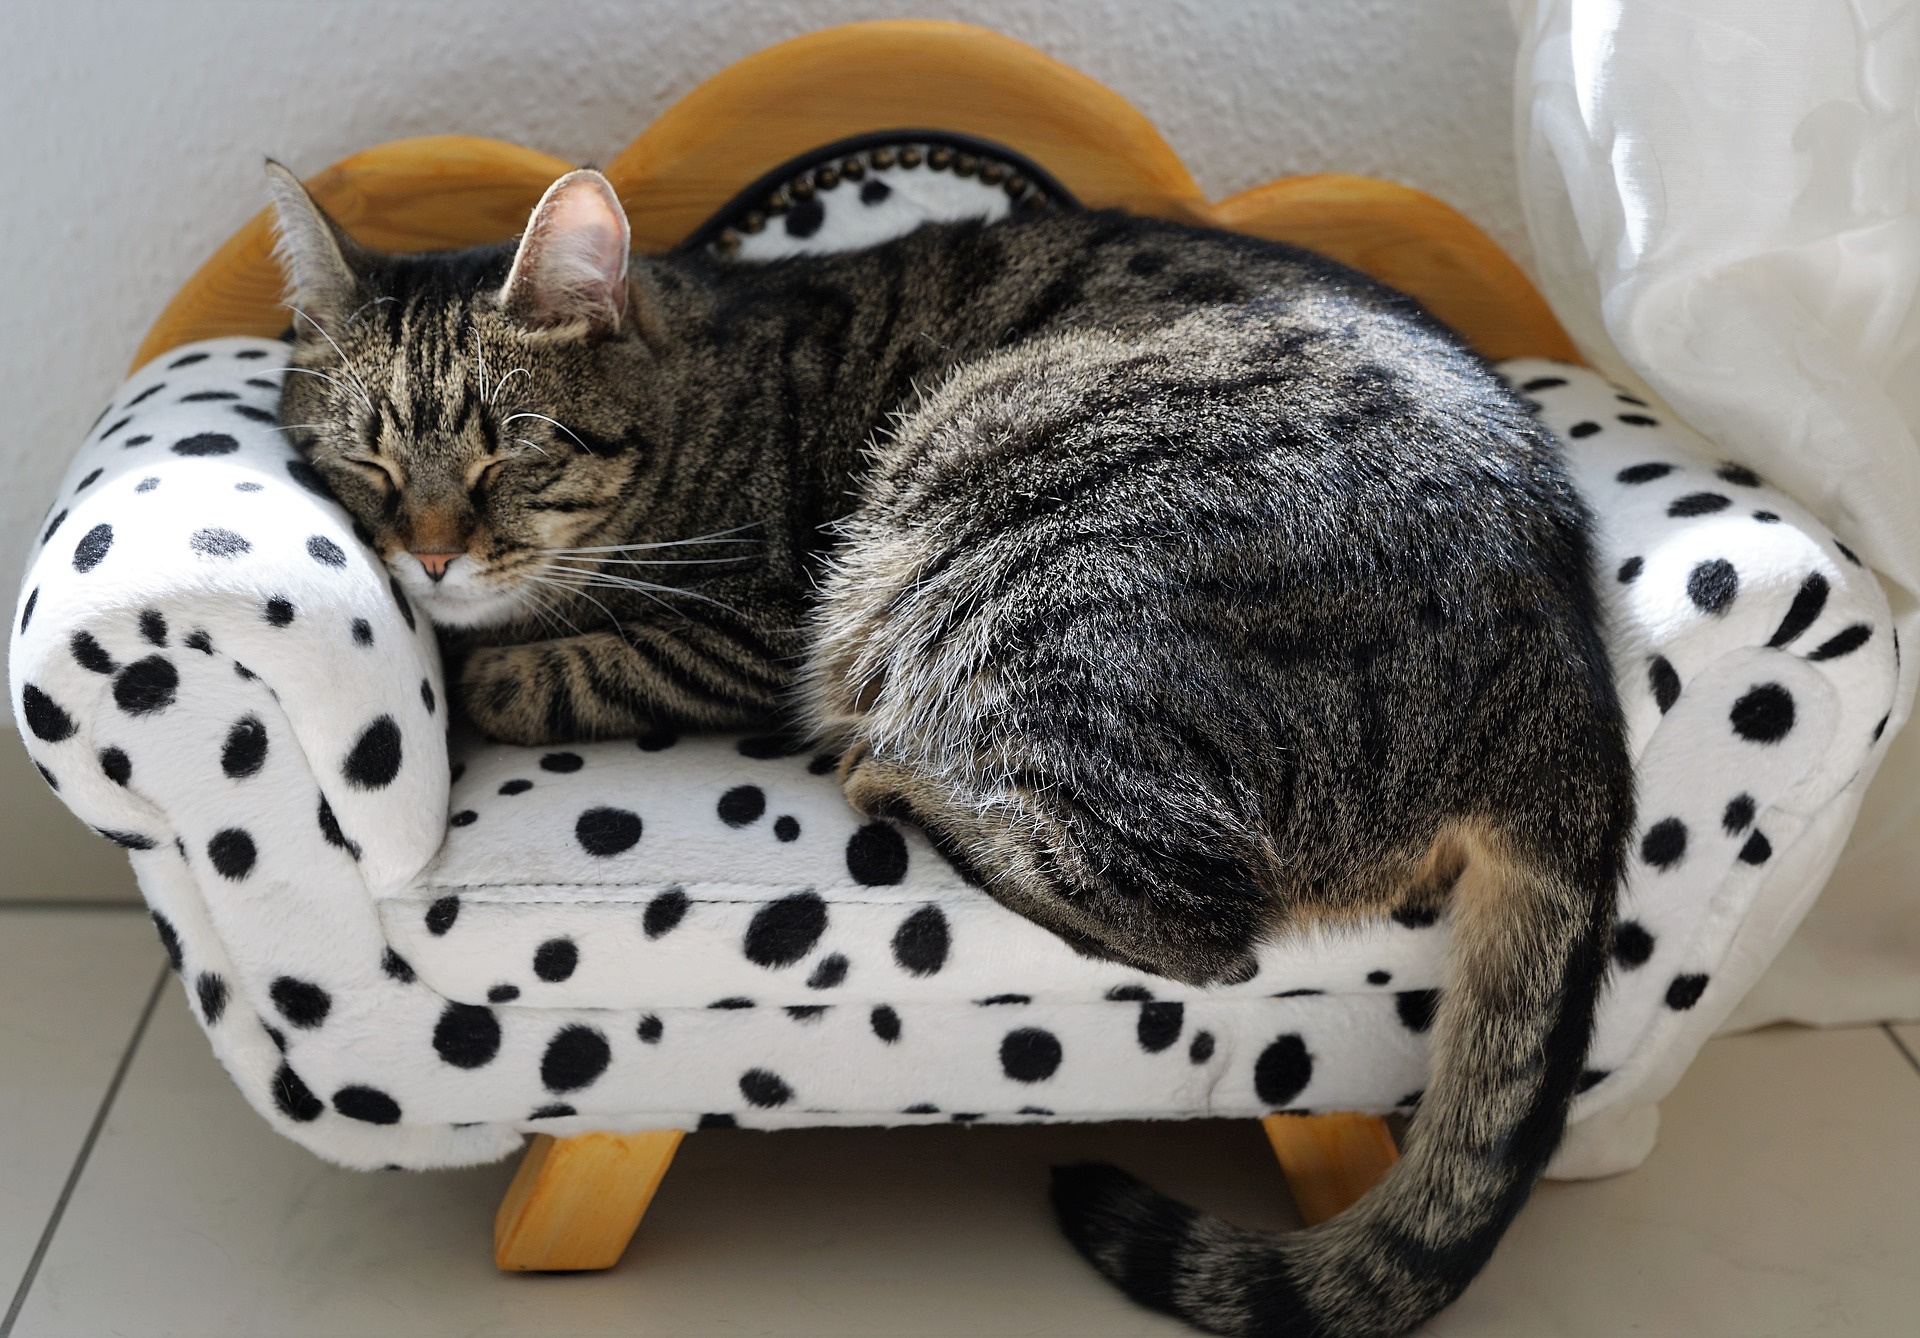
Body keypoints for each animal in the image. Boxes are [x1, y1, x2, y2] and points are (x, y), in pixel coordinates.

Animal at [270, 159, 1635, 1336]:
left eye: (510, 448)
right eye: (364, 459)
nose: (428, 557)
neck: (693, 394)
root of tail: (1566, 678)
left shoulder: (755, 626)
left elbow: (549, 671)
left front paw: (483, 662)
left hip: (999, 555)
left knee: (1192, 924)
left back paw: (897, 778)